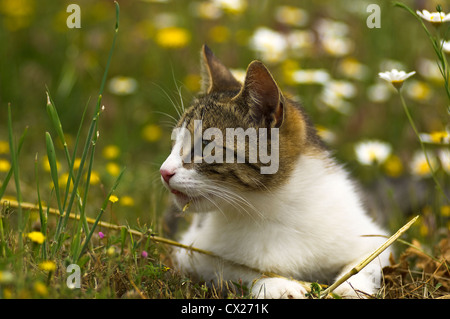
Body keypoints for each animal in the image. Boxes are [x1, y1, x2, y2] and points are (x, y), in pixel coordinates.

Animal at [160, 45, 392, 300]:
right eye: (175, 143)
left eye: (205, 145)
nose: (164, 171)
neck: (273, 206)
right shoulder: (189, 254)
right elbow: (232, 269)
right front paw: (276, 284)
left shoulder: (374, 238)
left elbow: (368, 262)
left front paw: (350, 287)